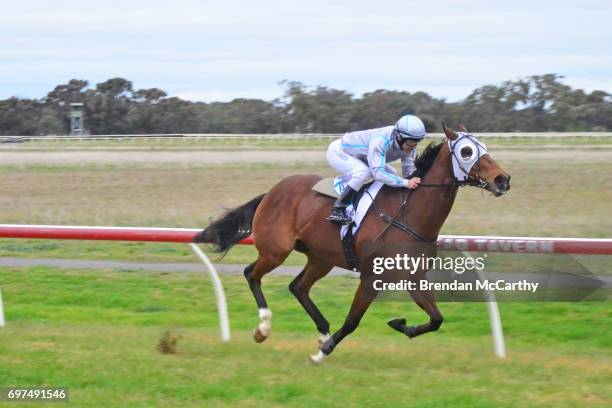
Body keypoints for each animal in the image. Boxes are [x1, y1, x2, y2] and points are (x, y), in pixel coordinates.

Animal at [195, 124, 506, 364]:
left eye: (483, 146)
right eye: (466, 152)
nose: (503, 179)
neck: (408, 214)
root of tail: (272, 192)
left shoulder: (414, 277)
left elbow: (436, 318)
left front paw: (400, 324)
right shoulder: (371, 278)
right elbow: (352, 321)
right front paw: (322, 353)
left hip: (320, 258)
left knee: (298, 287)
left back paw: (321, 330)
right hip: (276, 251)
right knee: (252, 274)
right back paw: (264, 328)